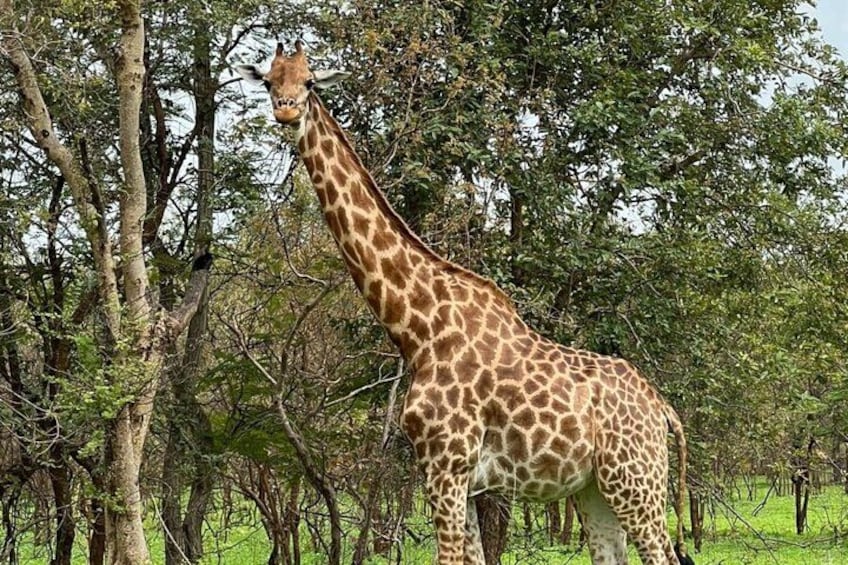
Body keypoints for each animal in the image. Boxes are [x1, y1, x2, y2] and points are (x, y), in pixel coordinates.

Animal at [236, 42, 690, 565]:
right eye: (269, 80)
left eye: (309, 82)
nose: (286, 109)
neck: (416, 328)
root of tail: (662, 409)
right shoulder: (459, 478)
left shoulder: (447, 465)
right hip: (595, 486)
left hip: (636, 479)